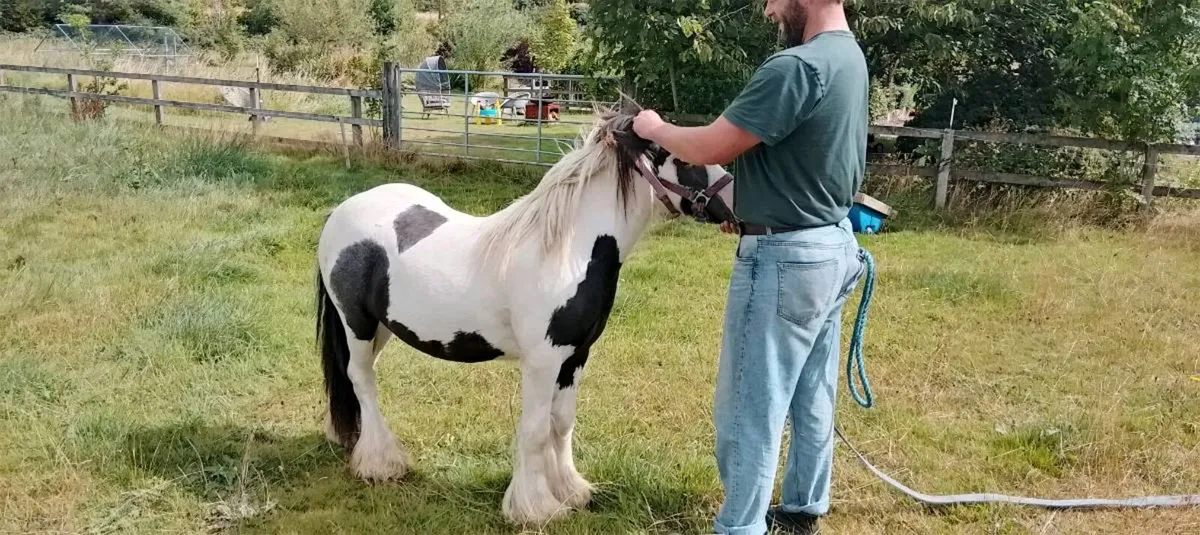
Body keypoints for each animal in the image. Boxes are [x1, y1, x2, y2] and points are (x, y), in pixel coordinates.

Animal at [314, 111, 736, 525]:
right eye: (685, 160)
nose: (734, 204)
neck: (567, 253)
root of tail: (342, 211)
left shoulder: (575, 356)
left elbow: (561, 423)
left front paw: (570, 490)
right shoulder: (542, 361)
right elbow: (534, 430)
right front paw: (534, 508)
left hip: (382, 328)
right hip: (356, 323)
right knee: (360, 378)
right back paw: (381, 463)